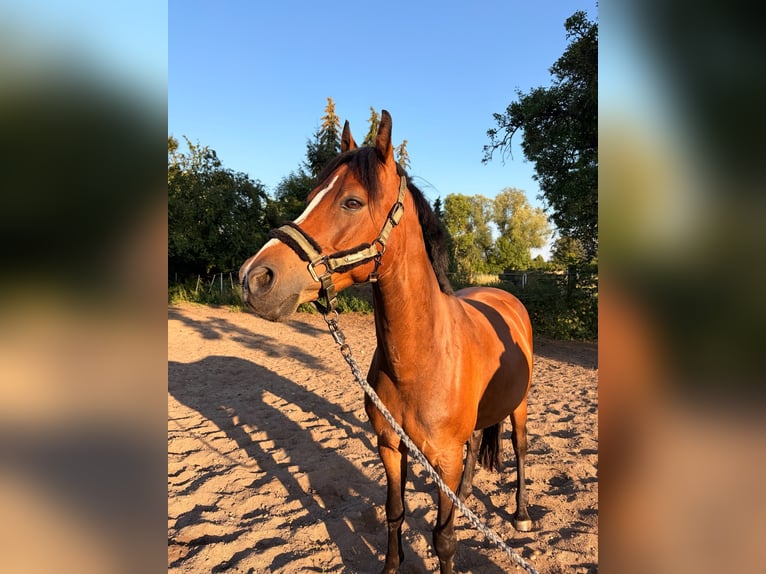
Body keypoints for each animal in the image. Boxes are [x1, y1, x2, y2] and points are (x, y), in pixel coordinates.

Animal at [239, 110, 534, 574]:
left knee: (520, 449)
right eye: (310, 195)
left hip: (520, 406)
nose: (255, 277)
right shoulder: (391, 446)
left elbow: (444, 539)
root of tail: (506, 297)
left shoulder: (443, 457)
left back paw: (521, 514)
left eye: (352, 202)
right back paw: (467, 495)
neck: (420, 360)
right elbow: (394, 512)